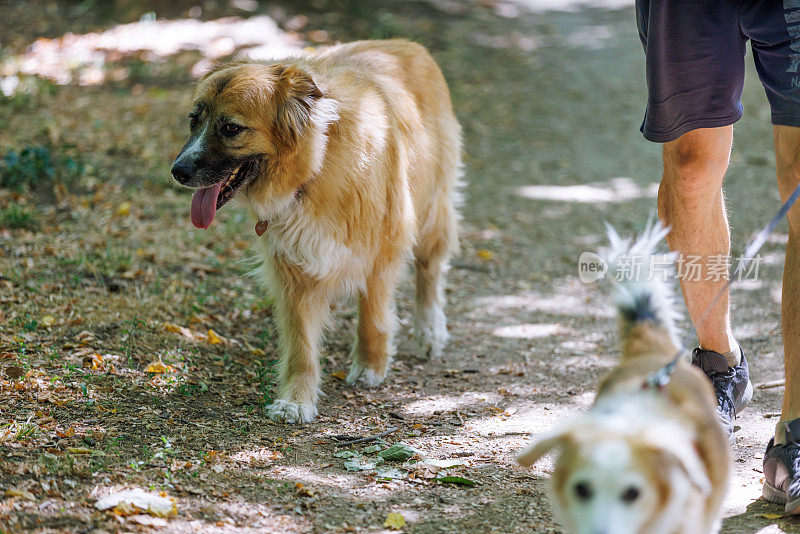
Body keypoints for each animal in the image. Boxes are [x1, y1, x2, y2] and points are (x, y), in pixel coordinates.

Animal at [173, 39, 462, 422]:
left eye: (231, 128)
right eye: (194, 121)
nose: (178, 171)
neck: (315, 168)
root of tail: (406, 44)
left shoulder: (382, 252)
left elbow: (372, 316)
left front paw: (370, 364)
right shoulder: (293, 265)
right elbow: (301, 345)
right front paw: (297, 399)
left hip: (431, 212)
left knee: (429, 271)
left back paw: (430, 330)